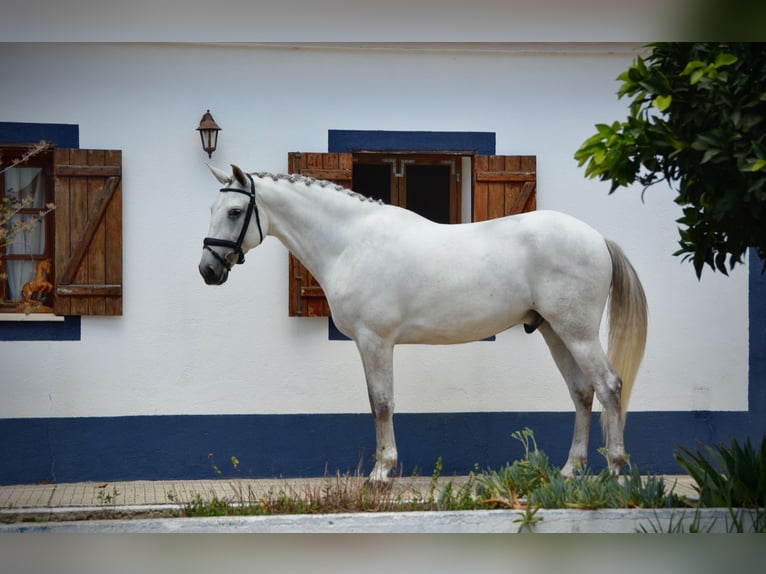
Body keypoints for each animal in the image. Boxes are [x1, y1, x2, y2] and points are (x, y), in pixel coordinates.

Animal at [200, 164, 648, 484]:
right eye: (212, 211)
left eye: (235, 212)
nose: (208, 270)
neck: (351, 242)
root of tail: (597, 238)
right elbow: (376, 403)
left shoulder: (375, 341)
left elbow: (381, 403)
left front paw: (381, 473)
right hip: (557, 332)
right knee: (582, 393)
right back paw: (571, 470)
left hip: (578, 332)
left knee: (609, 386)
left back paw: (616, 471)